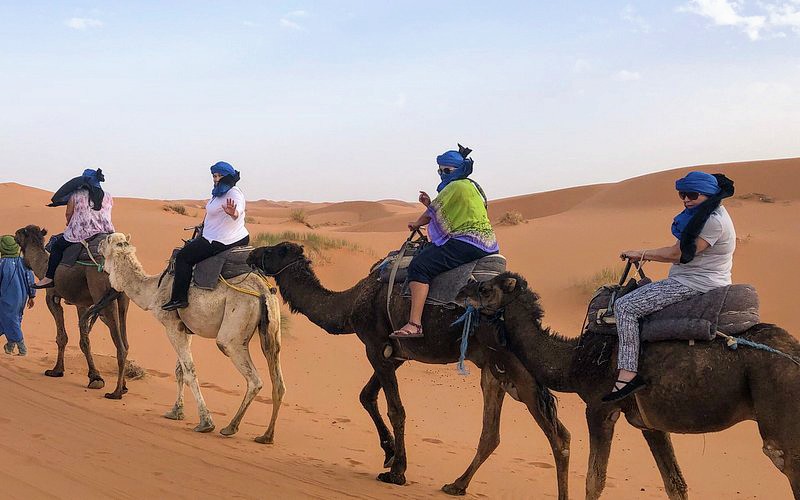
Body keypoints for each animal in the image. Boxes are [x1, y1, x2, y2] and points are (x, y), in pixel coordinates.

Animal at [14, 225, 130, 399]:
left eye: (21, 232)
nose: (14, 234)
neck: (42, 266)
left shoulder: (52, 297)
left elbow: (62, 337)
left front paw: (56, 370)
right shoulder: (81, 304)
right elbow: (84, 340)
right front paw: (94, 376)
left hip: (104, 299)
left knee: (121, 347)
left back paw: (116, 393)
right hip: (122, 300)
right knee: (126, 342)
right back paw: (123, 387)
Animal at [93, 232, 285, 442]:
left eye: (107, 240)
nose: (97, 244)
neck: (154, 289)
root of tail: (263, 291)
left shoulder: (172, 326)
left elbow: (190, 371)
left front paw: (205, 422)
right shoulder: (185, 329)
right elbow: (179, 370)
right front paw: (175, 411)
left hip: (233, 333)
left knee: (253, 378)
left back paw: (230, 427)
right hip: (271, 330)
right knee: (278, 381)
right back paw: (266, 435)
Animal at [247, 242, 572, 498]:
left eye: (275, 249)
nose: (252, 253)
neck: (351, 303)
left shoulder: (375, 346)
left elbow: (396, 409)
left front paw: (397, 472)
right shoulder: (395, 354)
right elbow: (367, 396)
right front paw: (389, 453)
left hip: (518, 369)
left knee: (558, 436)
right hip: (493, 369)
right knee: (493, 432)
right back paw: (457, 485)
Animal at [456, 272, 800, 499]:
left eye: (485, 288)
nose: (460, 290)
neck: (575, 360)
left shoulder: (599, 408)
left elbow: (594, 479)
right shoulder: (650, 424)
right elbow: (675, 483)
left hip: (782, 425)